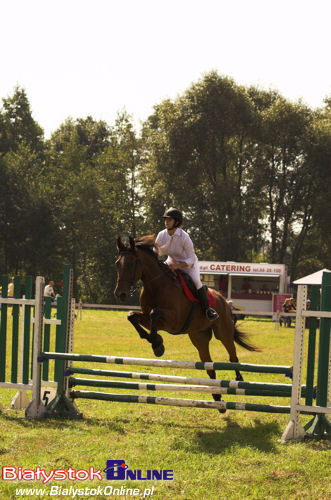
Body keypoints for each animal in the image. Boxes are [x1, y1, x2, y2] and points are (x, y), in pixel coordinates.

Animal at [115, 234, 260, 410]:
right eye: (117, 263)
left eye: (132, 263)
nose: (120, 294)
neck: (156, 286)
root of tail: (224, 300)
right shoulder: (148, 319)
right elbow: (132, 316)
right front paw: (155, 341)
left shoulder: (174, 320)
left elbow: (155, 313)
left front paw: (157, 345)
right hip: (199, 338)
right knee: (209, 366)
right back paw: (217, 398)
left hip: (223, 333)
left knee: (233, 357)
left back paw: (238, 379)